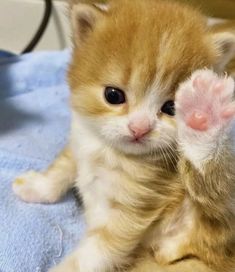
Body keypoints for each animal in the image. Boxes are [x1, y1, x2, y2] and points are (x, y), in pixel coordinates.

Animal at [12, 0, 235, 272]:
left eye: (171, 107)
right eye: (113, 95)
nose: (140, 128)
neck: (109, 152)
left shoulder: (133, 208)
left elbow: (93, 254)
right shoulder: (81, 138)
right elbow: (63, 167)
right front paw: (37, 187)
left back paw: (205, 116)